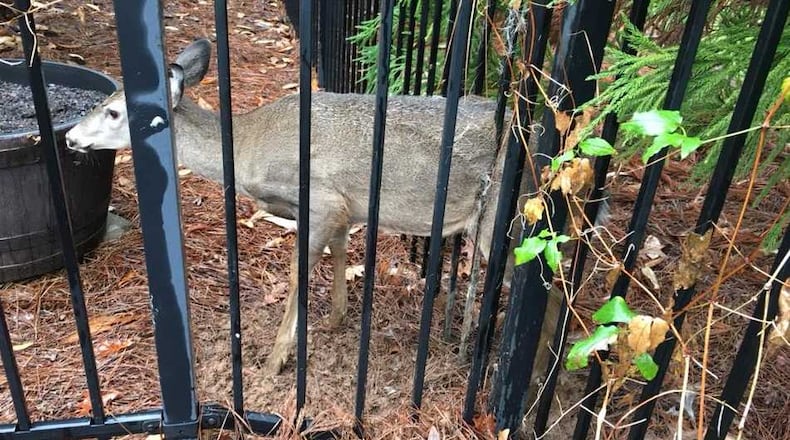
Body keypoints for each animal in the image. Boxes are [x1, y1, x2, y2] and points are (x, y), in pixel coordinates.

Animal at [66, 39, 577, 397]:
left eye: (113, 112)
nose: (70, 137)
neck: (244, 148)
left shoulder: (321, 199)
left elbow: (297, 274)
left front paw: (275, 363)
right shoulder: (343, 209)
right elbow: (339, 253)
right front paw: (334, 319)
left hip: (507, 222)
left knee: (551, 289)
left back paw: (534, 379)